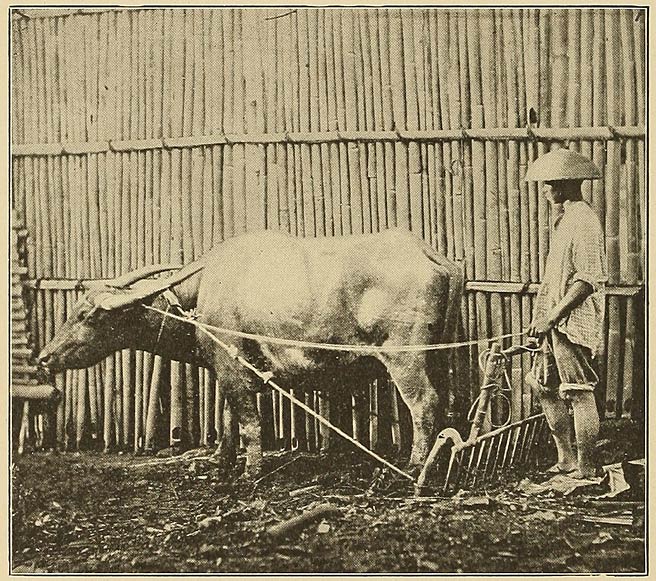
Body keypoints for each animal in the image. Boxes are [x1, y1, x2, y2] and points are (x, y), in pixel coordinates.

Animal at [38, 229, 463, 476]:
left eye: (86, 314)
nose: (45, 357)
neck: (204, 292)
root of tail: (434, 256)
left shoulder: (233, 366)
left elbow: (247, 420)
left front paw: (251, 470)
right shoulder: (229, 369)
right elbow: (228, 418)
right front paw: (219, 460)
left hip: (406, 358)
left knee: (424, 404)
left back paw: (414, 466)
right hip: (438, 356)